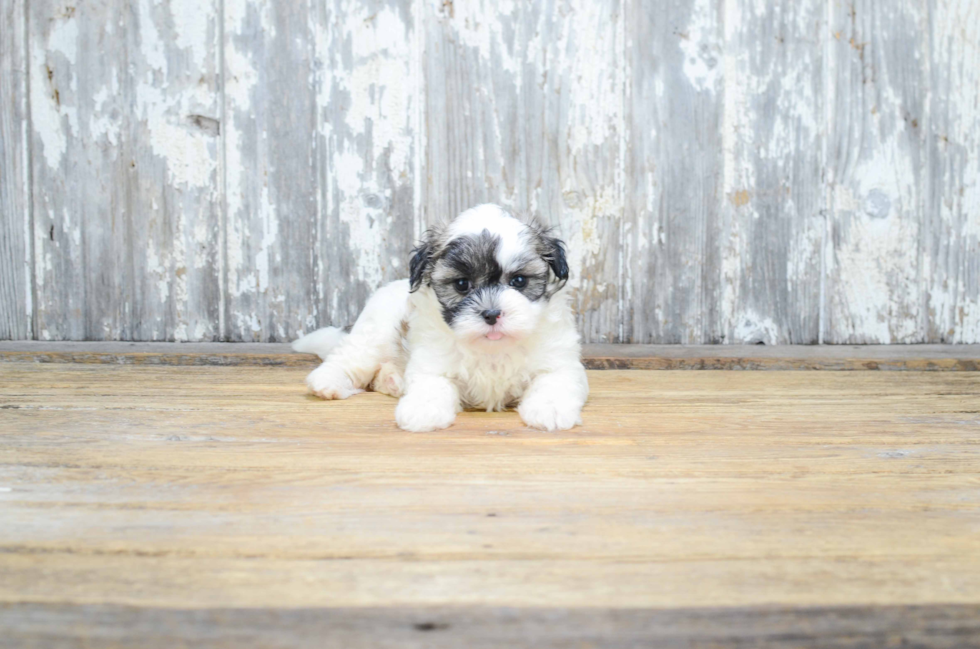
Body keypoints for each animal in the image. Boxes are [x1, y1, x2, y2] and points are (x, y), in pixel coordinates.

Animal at [292, 205, 588, 432]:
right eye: (462, 284)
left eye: (518, 281)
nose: (492, 313)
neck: (492, 349)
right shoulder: (431, 362)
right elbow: (432, 384)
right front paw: (422, 410)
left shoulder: (561, 363)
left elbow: (553, 380)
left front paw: (550, 409)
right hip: (372, 336)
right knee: (349, 359)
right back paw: (327, 382)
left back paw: (390, 380)